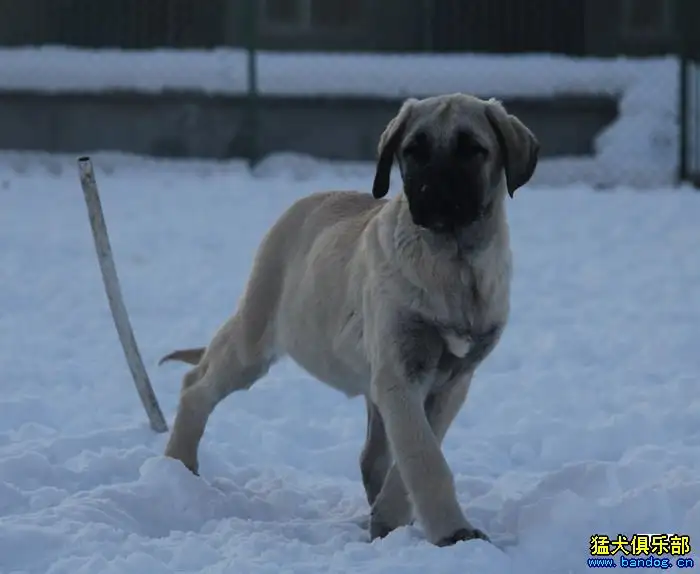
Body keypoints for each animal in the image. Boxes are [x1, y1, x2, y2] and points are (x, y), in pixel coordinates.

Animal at [160, 94, 540, 548]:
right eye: (413, 150)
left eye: (472, 149)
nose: (431, 191)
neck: (453, 262)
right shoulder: (400, 373)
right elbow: (424, 457)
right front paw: (452, 531)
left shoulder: (450, 382)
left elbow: (415, 454)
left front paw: (392, 519)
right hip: (256, 334)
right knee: (197, 385)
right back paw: (178, 465)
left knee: (371, 457)